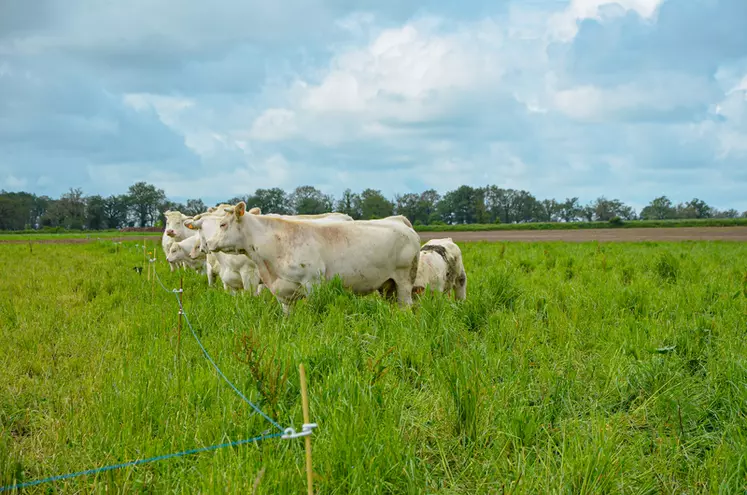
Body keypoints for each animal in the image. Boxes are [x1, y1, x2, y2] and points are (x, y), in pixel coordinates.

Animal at [207, 202, 424, 314]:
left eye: (223, 224)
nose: (208, 243)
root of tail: (399, 220)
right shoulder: (283, 292)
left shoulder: (313, 283)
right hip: (387, 285)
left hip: (404, 280)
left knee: (406, 306)